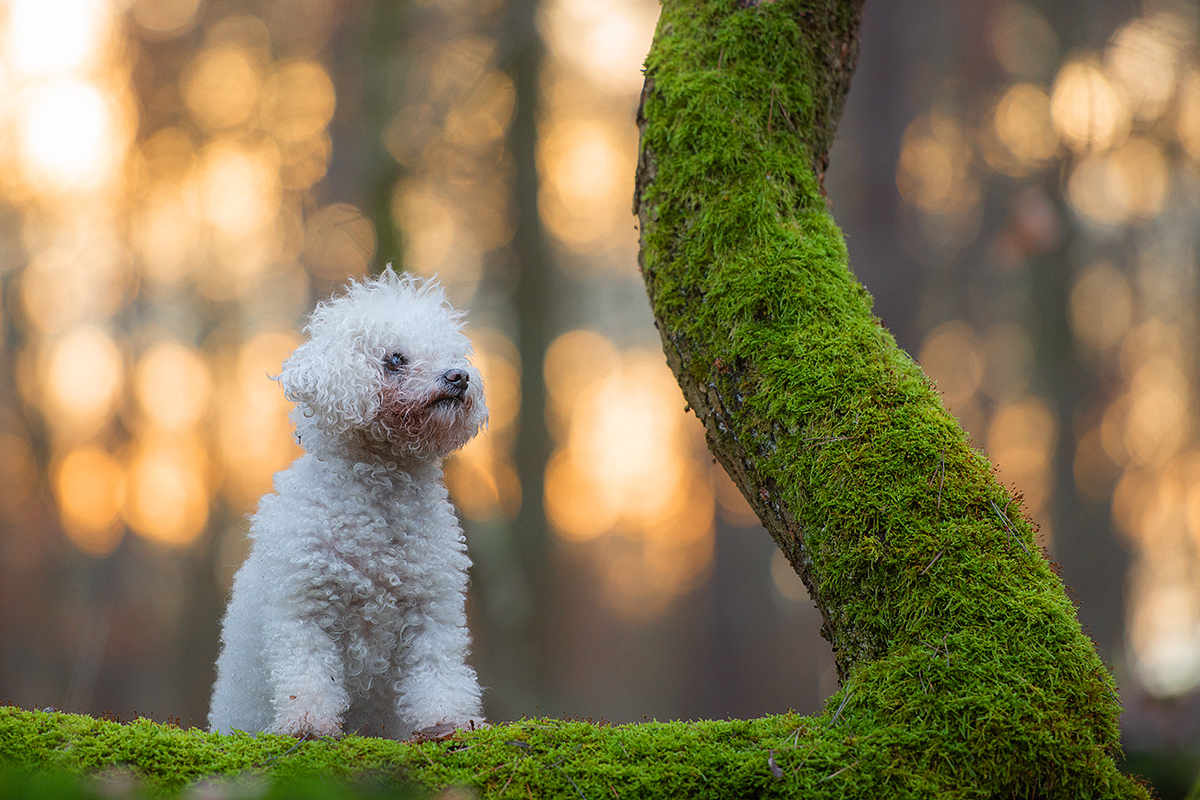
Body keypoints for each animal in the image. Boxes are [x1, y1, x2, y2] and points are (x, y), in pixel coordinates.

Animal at [211, 268, 487, 738]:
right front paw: (308, 722)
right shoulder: (303, 608)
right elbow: (307, 672)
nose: (460, 376)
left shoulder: (431, 607)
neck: (381, 497)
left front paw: (446, 721)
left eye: (451, 352)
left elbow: (438, 666)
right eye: (395, 358)